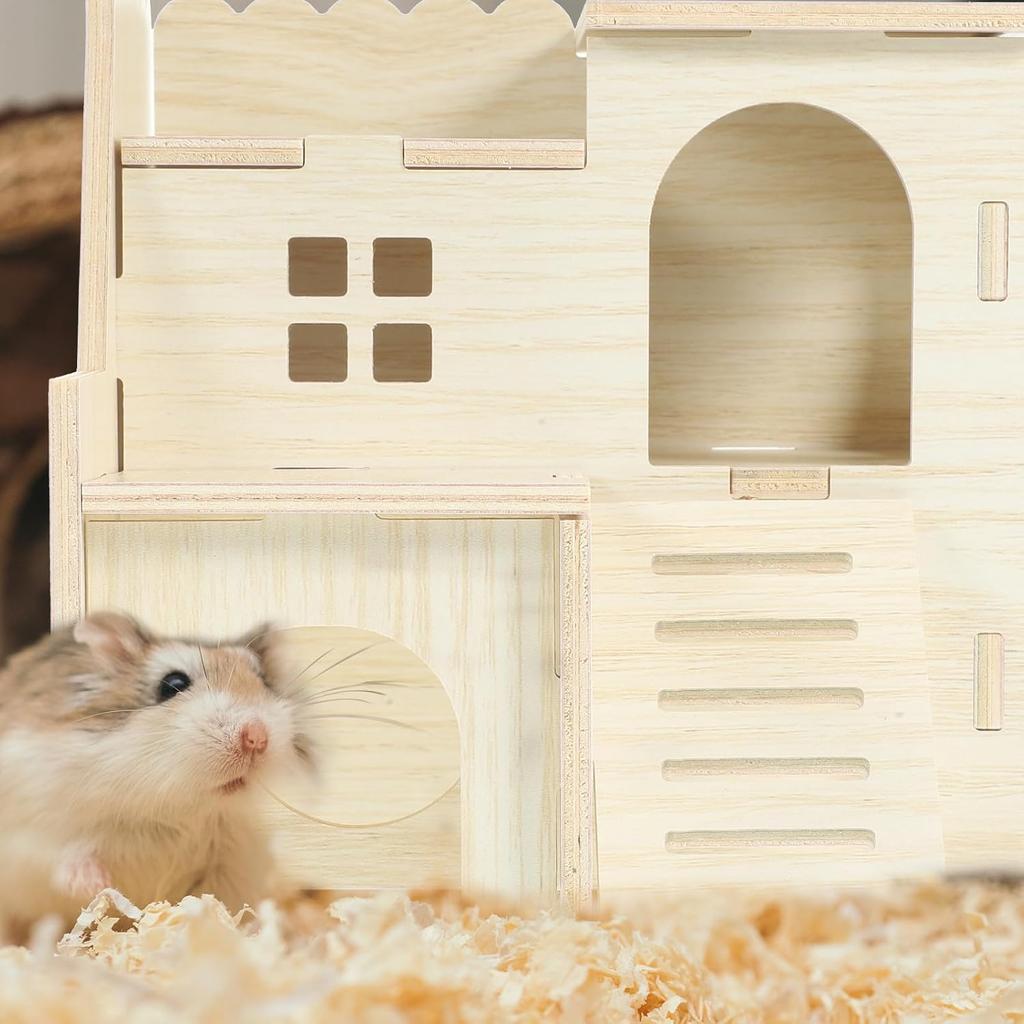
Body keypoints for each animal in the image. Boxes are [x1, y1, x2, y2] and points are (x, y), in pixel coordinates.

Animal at [0, 612, 313, 942]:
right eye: (173, 684)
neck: (179, 806)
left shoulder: (231, 865)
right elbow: (66, 857)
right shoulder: (34, 833)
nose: (256, 737)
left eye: (263, 680)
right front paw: (98, 886)